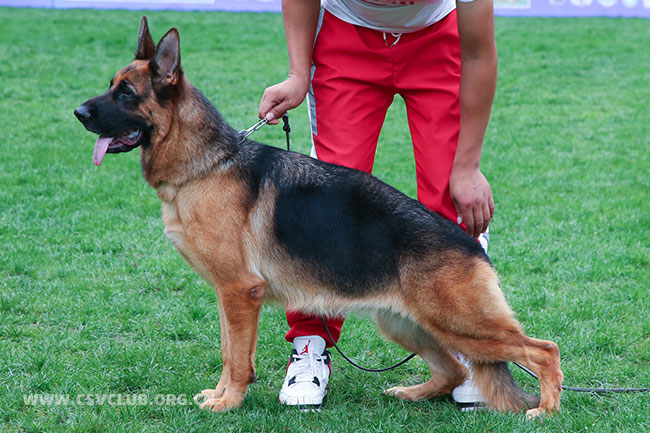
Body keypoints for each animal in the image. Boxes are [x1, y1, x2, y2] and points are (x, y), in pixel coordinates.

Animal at [74, 17, 563, 417]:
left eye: (126, 93)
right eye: (111, 85)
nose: (78, 113)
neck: (207, 164)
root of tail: (472, 247)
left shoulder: (239, 292)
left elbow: (237, 358)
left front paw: (228, 403)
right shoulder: (226, 295)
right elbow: (229, 351)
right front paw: (221, 395)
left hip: (461, 325)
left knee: (544, 350)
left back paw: (546, 410)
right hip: (406, 323)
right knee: (456, 371)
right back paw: (414, 393)